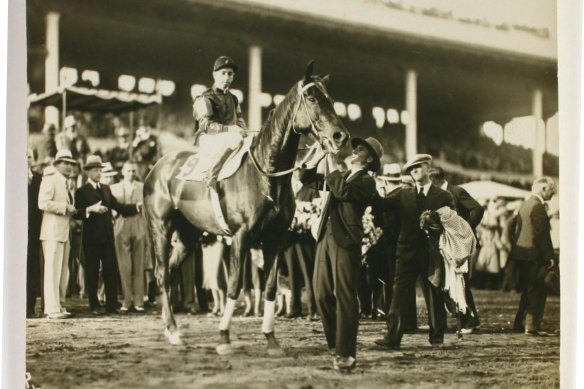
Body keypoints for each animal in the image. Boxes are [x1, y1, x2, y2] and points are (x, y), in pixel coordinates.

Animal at [143, 62, 350, 354]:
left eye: (331, 100)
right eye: (311, 98)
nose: (340, 136)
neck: (266, 173)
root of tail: (157, 167)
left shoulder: (276, 239)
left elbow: (271, 287)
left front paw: (271, 339)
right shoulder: (240, 237)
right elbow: (234, 285)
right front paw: (224, 338)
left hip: (187, 236)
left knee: (170, 274)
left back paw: (169, 328)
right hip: (160, 228)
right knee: (162, 274)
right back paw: (173, 330)